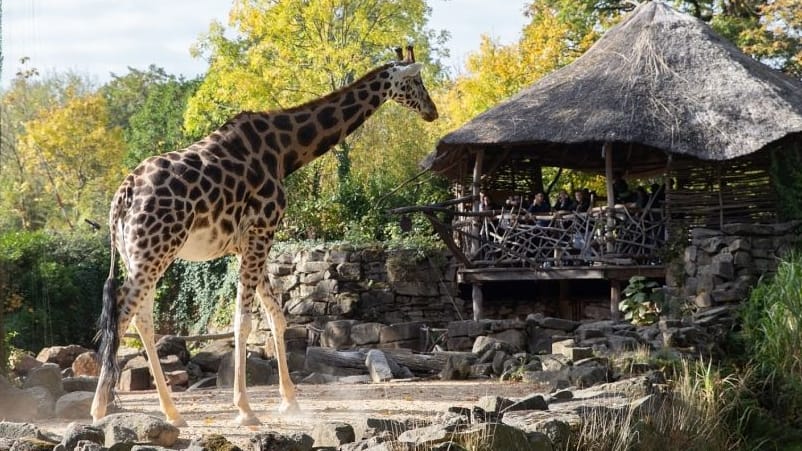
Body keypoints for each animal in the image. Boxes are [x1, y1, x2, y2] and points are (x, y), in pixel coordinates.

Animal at [90, 46, 437, 426]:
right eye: (416, 82)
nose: (432, 111)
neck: (286, 150)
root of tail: (122, 196)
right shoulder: (262, 231)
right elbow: (243, 321)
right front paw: (245, 409)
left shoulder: (245, 243)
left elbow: (275, 315)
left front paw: (290, 401)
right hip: (156, 250)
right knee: (123, 312)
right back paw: (100, 408)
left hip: (139, 255)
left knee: (142, 319)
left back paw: (172, 413)